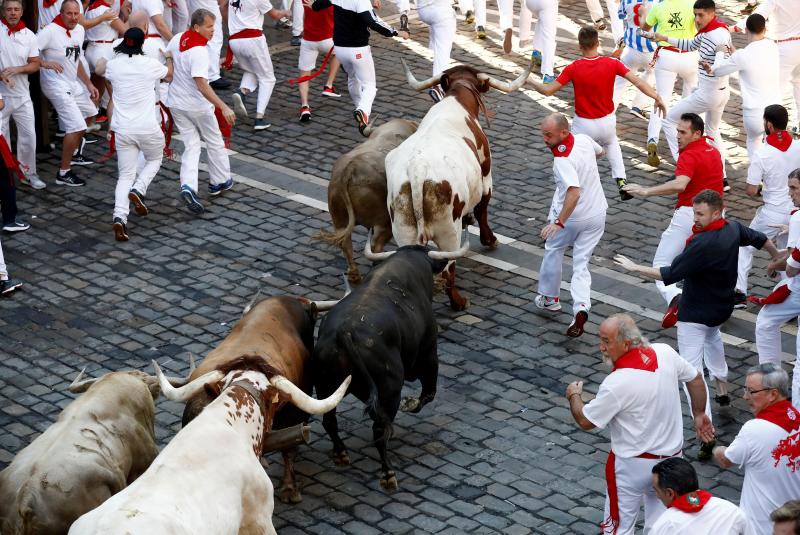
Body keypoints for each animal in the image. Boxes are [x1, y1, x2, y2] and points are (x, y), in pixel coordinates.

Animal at [312, 246, 450, 490]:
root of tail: (345, 332)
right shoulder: (428, 353)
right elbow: (428, 393)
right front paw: (410, 403)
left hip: (326, 385)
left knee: (329, 420)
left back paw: (341, 454)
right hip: (389, 389)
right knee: (379, 431)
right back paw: (388, 474)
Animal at [384, 58, 536, 310]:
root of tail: (417, 169)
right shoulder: (486, 178)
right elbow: (483, 209)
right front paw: (489, 239)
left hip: (403, 230)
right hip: (449, 233)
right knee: (448, 268)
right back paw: (458, 301)